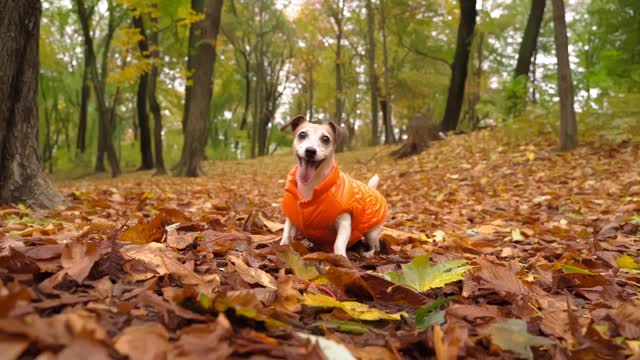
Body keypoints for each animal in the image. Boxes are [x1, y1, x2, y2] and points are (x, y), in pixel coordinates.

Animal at [278, 114, 388, 258]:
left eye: (326, 139)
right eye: (302, 134)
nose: (310, 151)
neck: (311, 186)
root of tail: (372, 189)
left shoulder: (344, 222)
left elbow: (338, 243)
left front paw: (341, 257)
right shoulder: (291, 218)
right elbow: (286, 234)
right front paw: (282, 247)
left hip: (372, 233)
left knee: (376, 245)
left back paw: (369, 253)